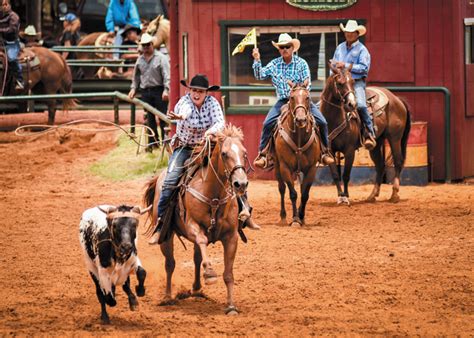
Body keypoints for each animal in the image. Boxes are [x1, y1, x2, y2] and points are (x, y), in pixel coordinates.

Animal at [143, 125, 248, 316]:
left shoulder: (231, 237)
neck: (213, 195)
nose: (241, 184)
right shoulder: (192, 227)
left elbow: (228, 274)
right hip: (166, 236)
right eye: (224, 154)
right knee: (170, 264)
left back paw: (197, 289)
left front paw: (231, 306)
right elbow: (202, 240)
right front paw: (210, 273)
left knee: (196, 257)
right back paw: (168, 297)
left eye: (244, 153)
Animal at [274, 80, 322, 226]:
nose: (301, 120)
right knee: (282, 188)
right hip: (277, 166)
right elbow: (293, 193)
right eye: (291, 98)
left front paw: (301, 216)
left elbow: (305, 194)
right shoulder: (285, 167)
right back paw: (283, 216)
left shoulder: (311, 168)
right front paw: (295, 219)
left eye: (307, 97)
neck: (299, 139)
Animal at [322, 65, 412, 203]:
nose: (352, 104)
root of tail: (397, 99)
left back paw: (394, 194)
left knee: (398, 161)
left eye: (352, 82)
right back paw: (372, 195)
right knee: (380, 166)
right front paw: (340, 196)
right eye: (340, 83)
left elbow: (346, 175)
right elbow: (336, 175)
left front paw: (346, 196)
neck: (335, 119)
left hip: (395, 138)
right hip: (376, 143)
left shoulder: (349, 151)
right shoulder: (330, 152)